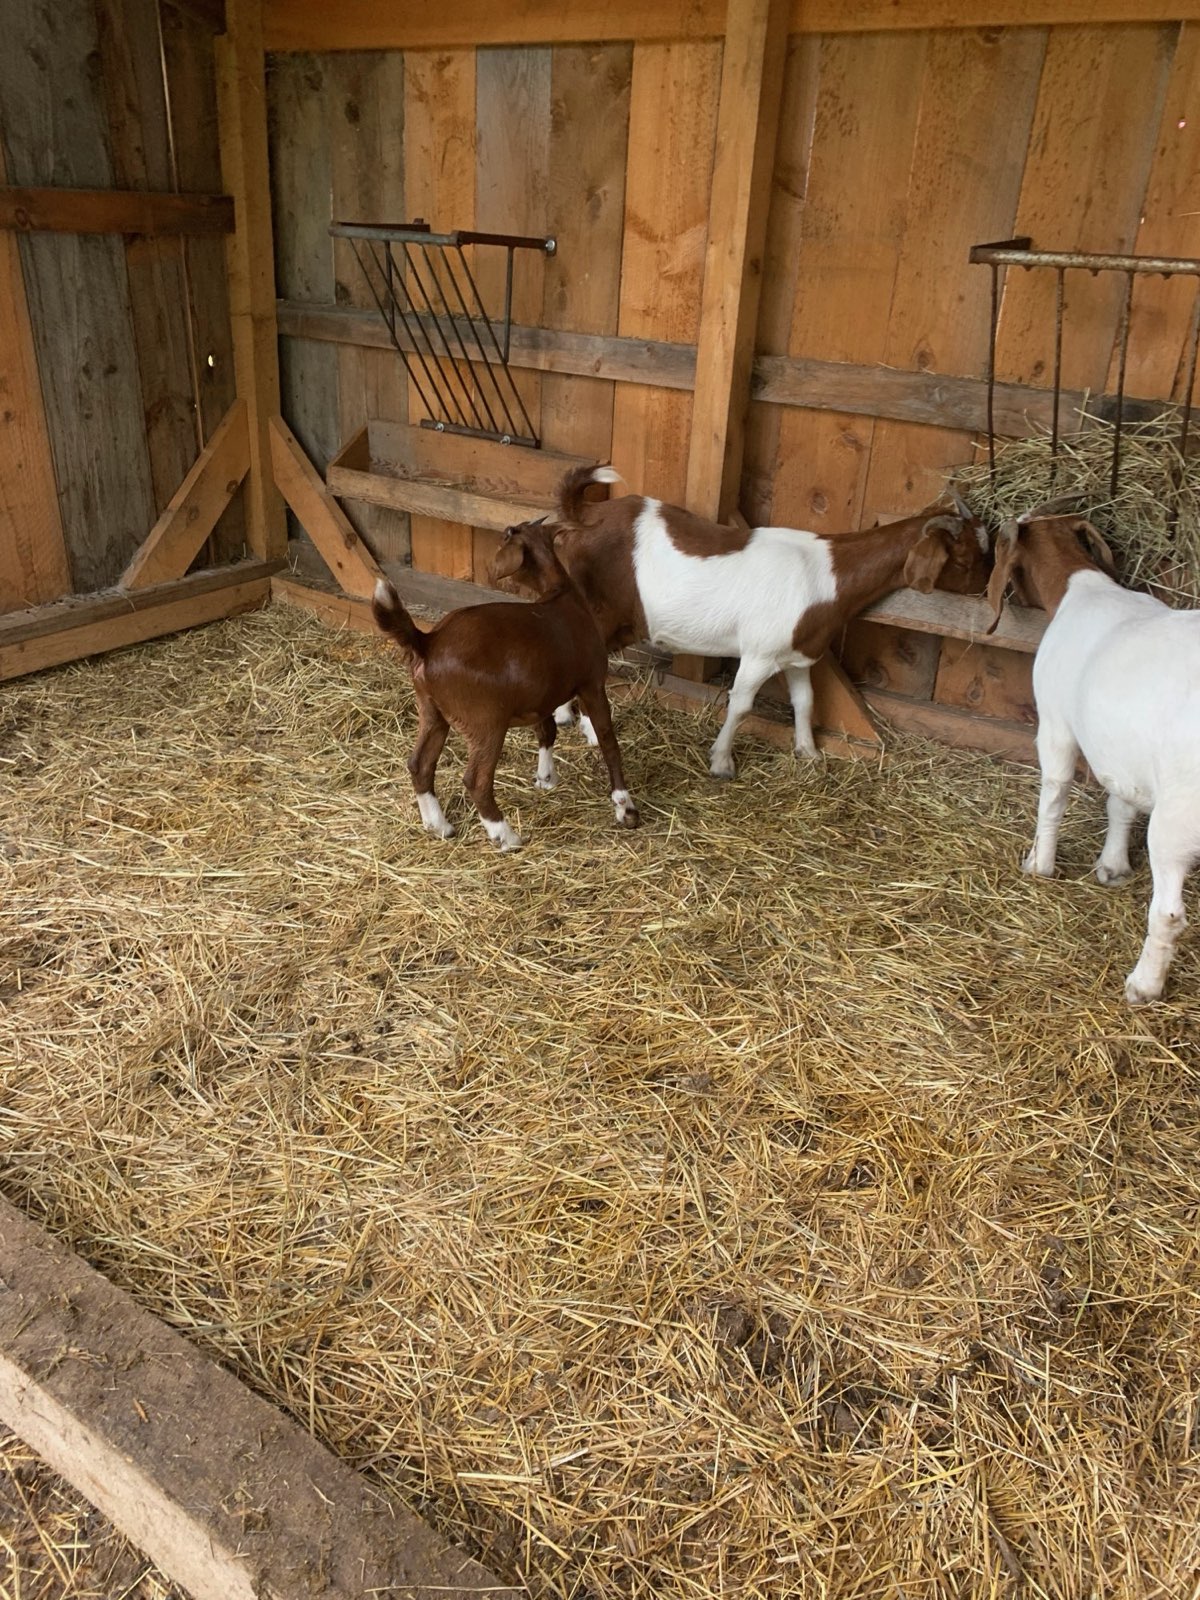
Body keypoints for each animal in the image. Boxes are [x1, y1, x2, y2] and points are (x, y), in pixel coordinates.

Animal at [371, 522, 641, 851]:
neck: (561, 594)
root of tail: (427, 642)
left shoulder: (540, 697)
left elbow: (547, 731)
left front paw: (546, 777)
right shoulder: (591, 683)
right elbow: (607, 740)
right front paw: (625, 807)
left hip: (431, 709)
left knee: (419, 764)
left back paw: (439, 825)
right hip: (485, 721)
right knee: (476, 779)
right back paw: (505, 835)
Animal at [514, 467, 991, 777]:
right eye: (965, 559)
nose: (990, 586)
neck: (828, 572)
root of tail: (585, 517)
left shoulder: (798, 655)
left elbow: (805, 701)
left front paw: (808, 752)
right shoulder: (760, 654)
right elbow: (741, 704)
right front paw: (721, 762)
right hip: (594, 612)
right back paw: (581, 726)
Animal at [987, 510, 1200, 1004]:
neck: (1081, 587)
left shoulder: (1056, 725)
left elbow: (1054, 795)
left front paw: (1039, 864)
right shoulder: (1119, 747)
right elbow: (1120, 802)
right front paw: (1113, 866)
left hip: (1178, 818)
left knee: (1168, 914)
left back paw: (1144, 985)